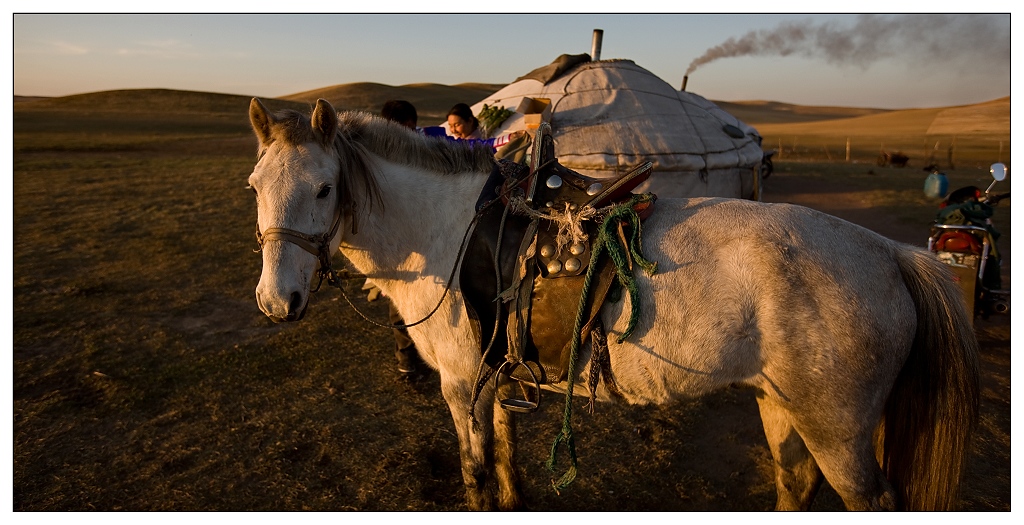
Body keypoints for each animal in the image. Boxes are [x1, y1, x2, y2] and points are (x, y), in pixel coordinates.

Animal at [243, 97, 978, 507]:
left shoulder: (460, 382)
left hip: (839, 430)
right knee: (795, 484)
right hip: (782, 405)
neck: (446, 231)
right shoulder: (495, 375)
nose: (277, 301)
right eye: (254, 184)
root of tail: (889, 254)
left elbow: (476, 471)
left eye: (324, 187)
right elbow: (505, 458)